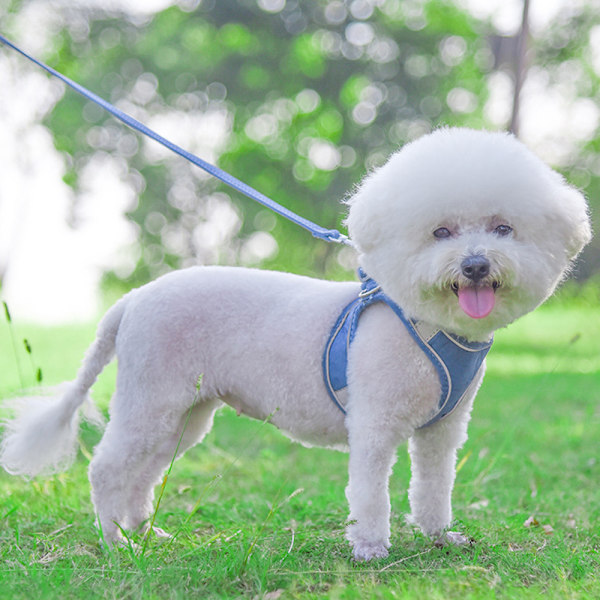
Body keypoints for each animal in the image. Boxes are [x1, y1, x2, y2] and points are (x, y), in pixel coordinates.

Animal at [0, 129, 592, 560]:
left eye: (503, 229)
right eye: (440, 232)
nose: (474, 266)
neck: (428, 323)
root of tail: (130, 302)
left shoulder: (441, 431)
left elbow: (433, 486)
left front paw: (440, 537)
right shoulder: (375, 425)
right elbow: (370, 492)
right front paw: (371, 549)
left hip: (183, 414)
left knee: (141, 474)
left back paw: (145, 535)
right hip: (152, 399)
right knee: (107, 469)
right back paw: (114, 542)